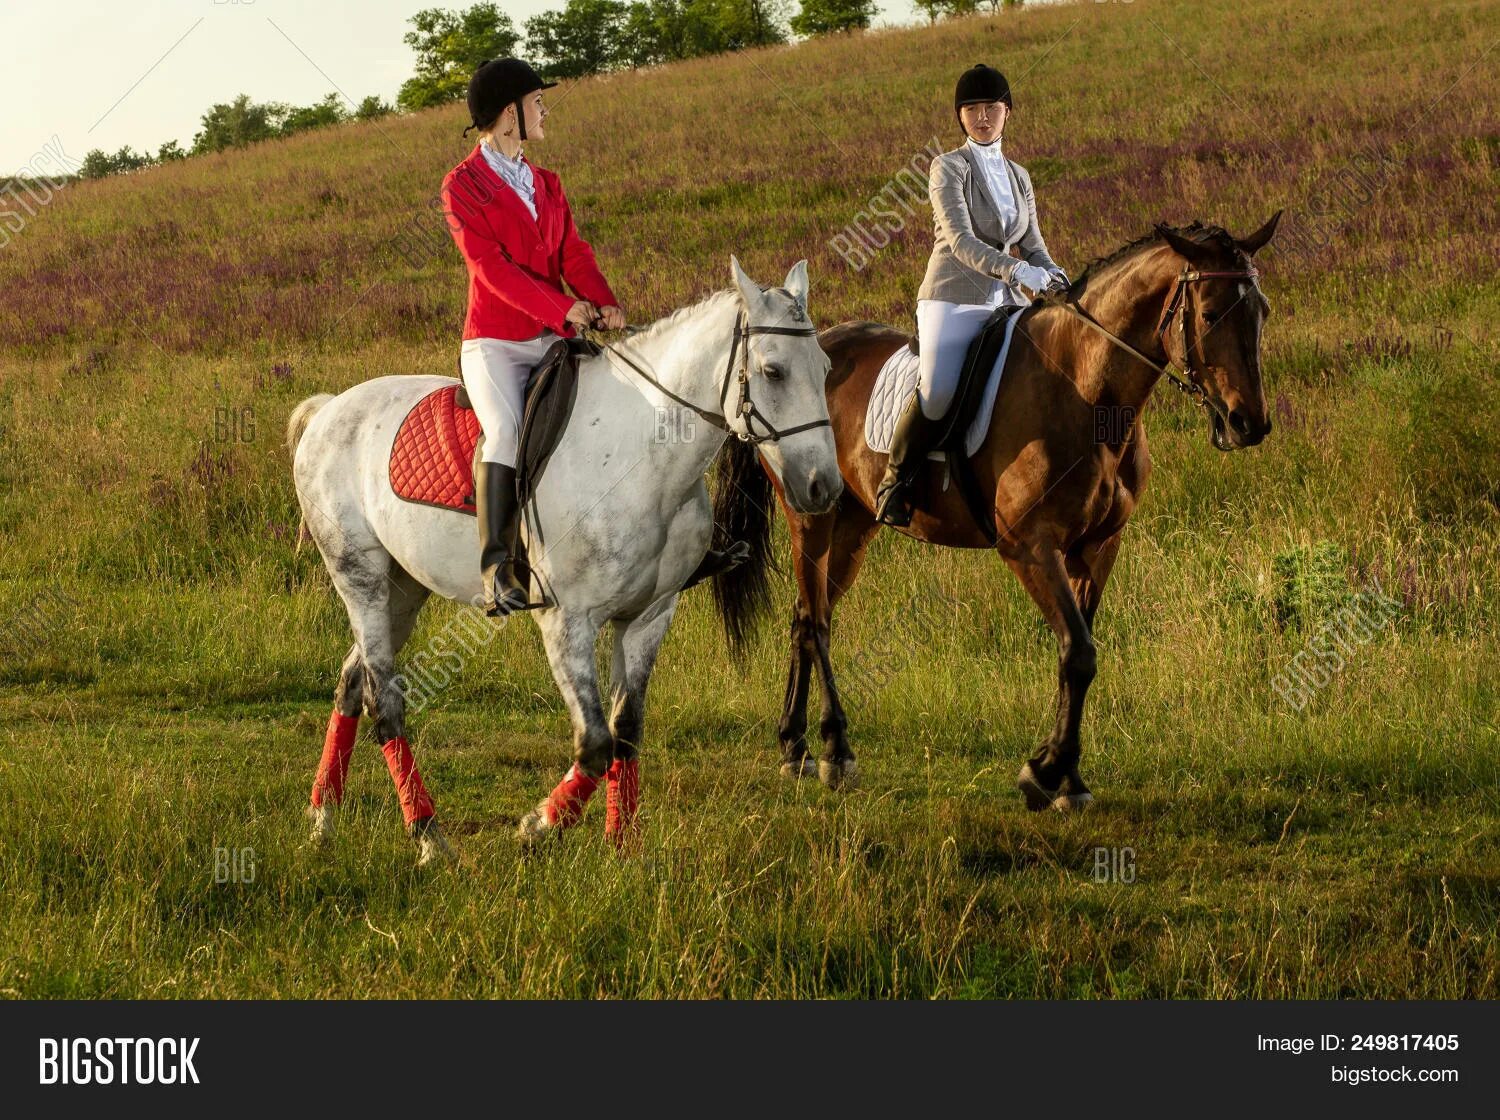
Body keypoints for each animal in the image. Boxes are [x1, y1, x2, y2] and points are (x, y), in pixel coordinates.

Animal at [286, 260, 840, 869]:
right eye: (773, 371)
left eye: (826, 368)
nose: (824, 487)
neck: (642, 457)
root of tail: (330, 408)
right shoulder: (566, 622)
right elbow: (595, 743)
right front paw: (538, 826)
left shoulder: (649, 616)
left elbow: (626, 729)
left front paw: (624, 850)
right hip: (358, 576)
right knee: (383, 700)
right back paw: (428, 835)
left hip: (403, 588)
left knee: (351, 684)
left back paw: (322, 818)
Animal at [708, 212, 1284, 803]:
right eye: (1210, 313)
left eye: (1261, 310)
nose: (1249, 423)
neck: (1085, 391)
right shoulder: (1029, 546)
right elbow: (1078, 652)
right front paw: (1047, 773)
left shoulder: (1099, 546)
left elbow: (1077, 652)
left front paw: (1064, 775)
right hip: (812, 517)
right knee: (817, 622)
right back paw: (834, 750)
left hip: (853, 527)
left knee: (805, 617)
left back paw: (794, 746)